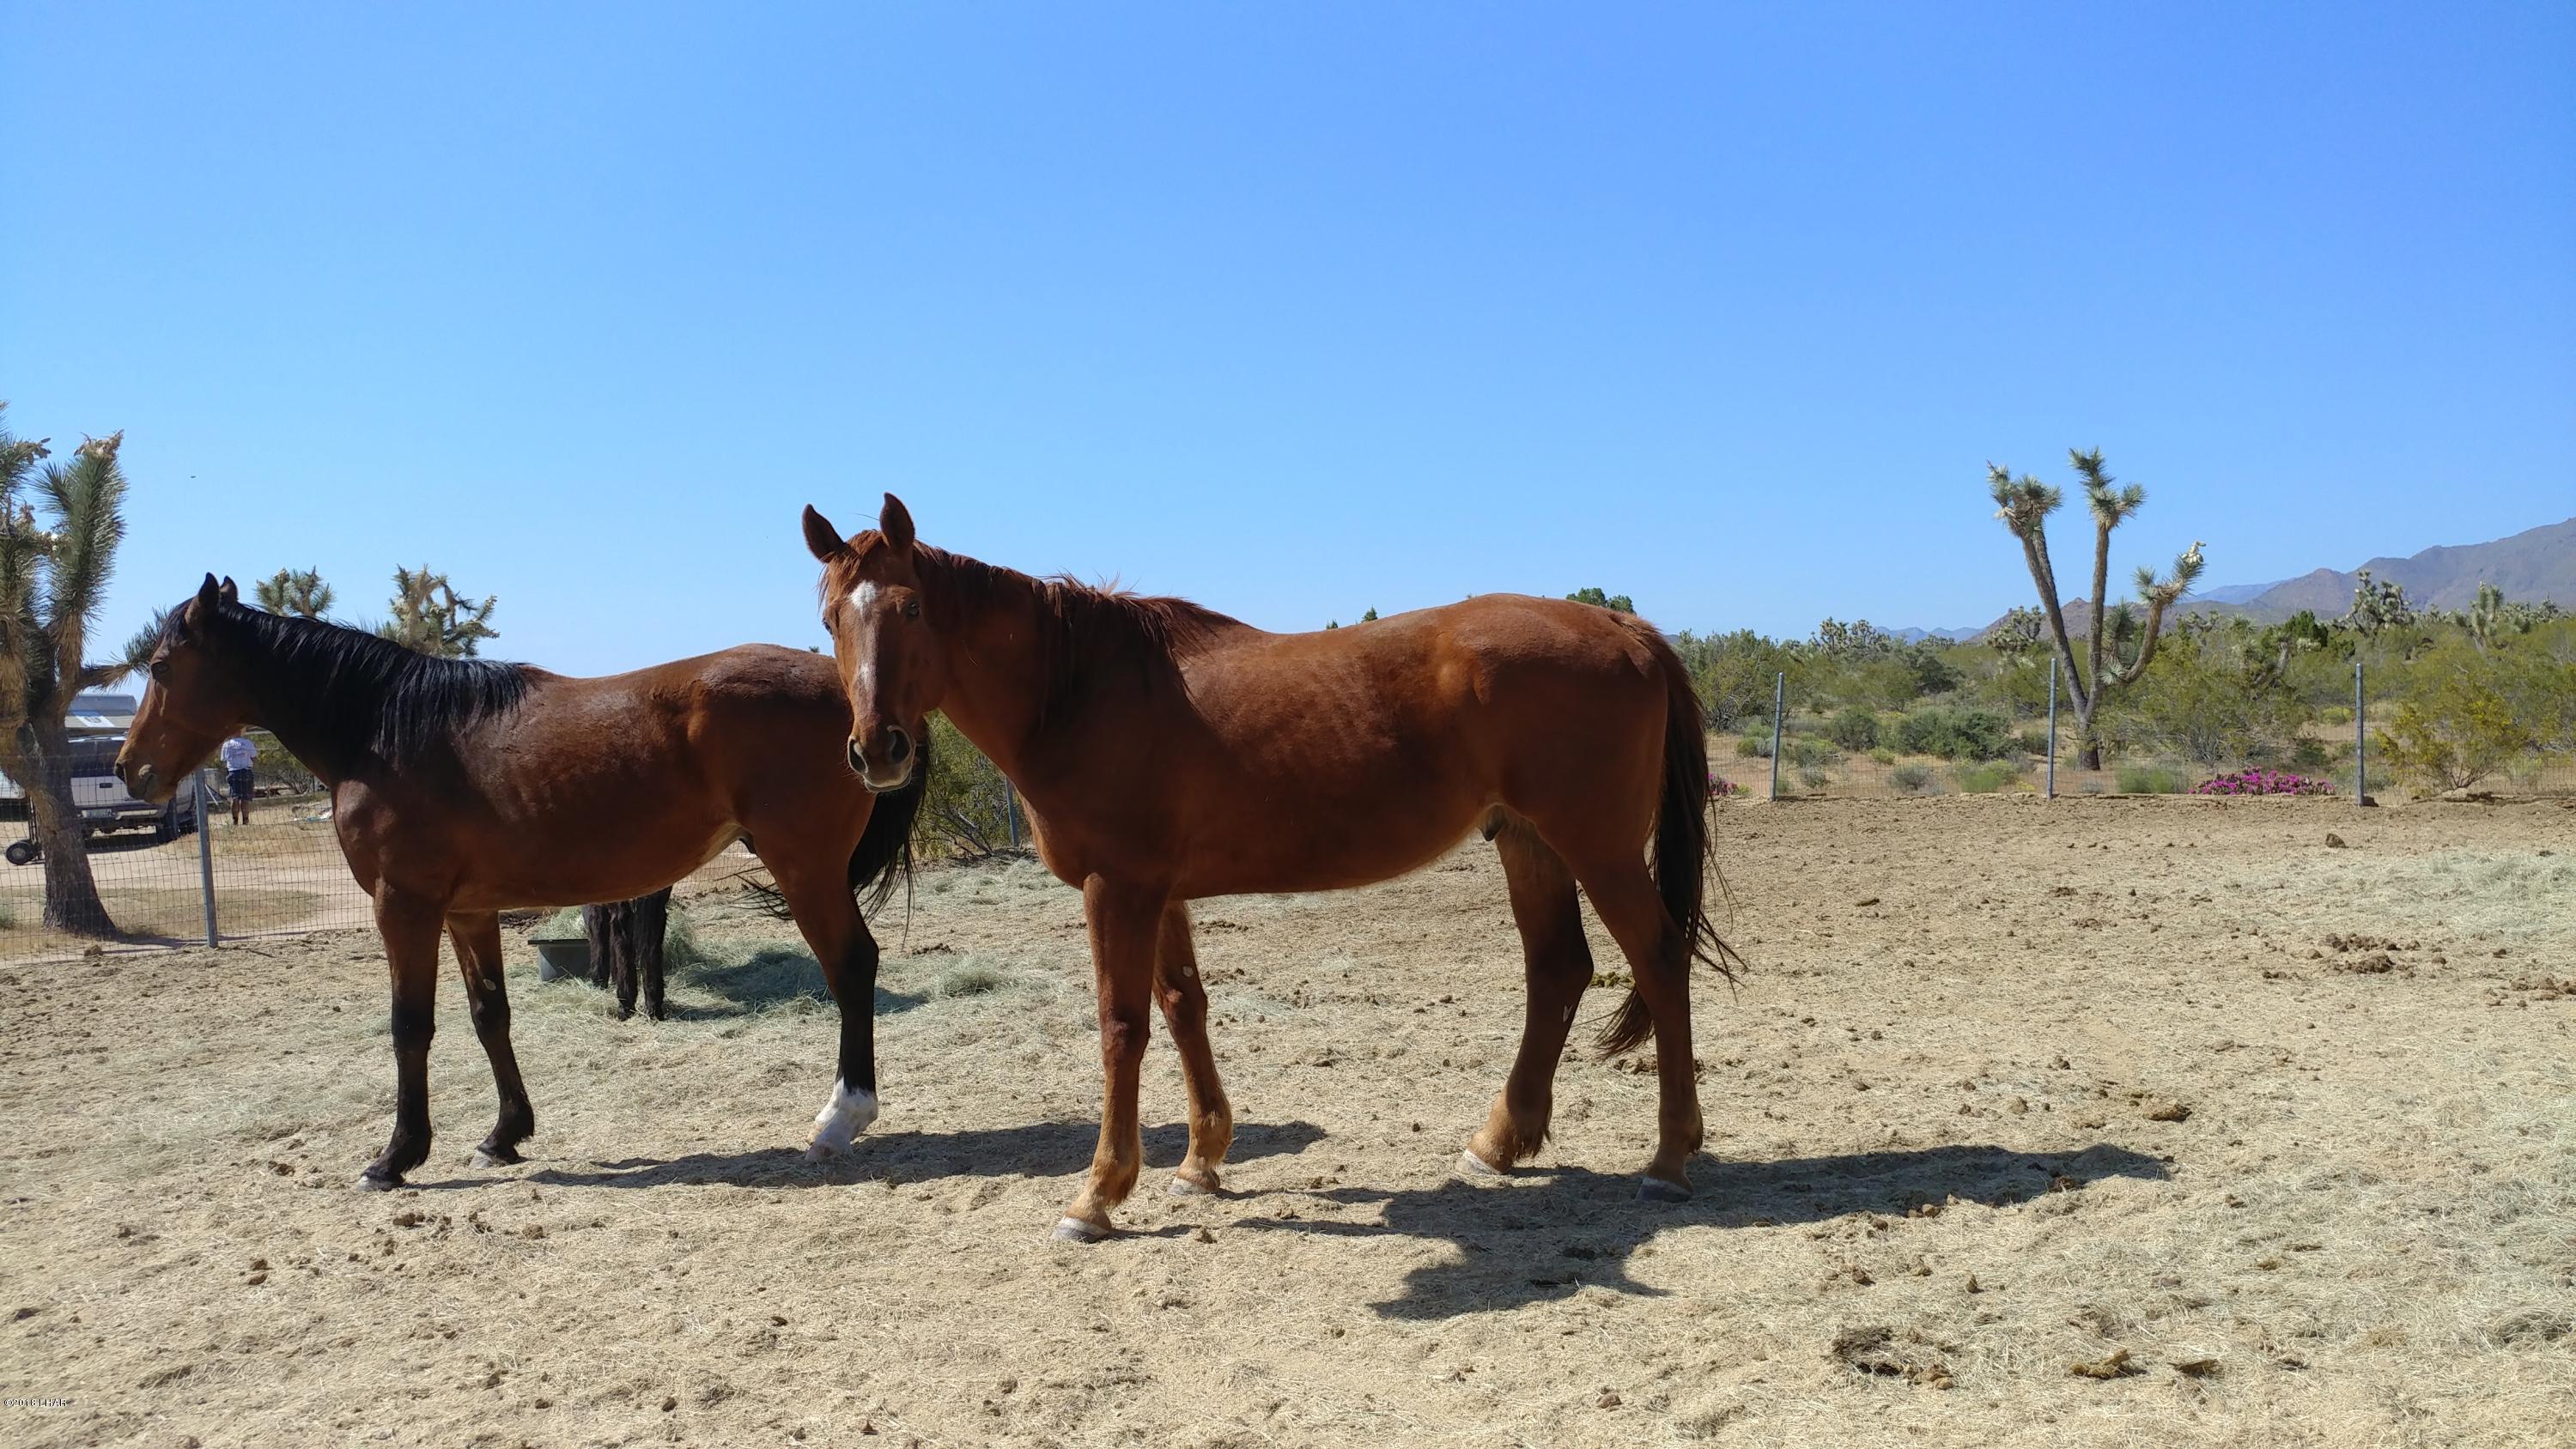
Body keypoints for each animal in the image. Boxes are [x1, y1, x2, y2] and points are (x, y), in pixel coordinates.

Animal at [114, 575, 924, 1188]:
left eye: (160, 667)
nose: (129, 769)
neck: (386, 733)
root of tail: (858, 702)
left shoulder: (403, 908)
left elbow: (411, 1026)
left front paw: (396, 1156)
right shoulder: (468, 914)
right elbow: (488, 1017)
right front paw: (504, 1134)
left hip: (805, 867)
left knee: (851, 966)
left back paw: (839, 1121)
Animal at [801, 496, 1735, 1241]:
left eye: (911, 607)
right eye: (831, 620)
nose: (876, 749)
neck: (1079, 691)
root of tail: (1621, 627)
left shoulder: (1118, 888)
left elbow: (1120, 1027)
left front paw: (1099, 1193)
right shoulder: (1162, 891)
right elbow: (1183, 1007)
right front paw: (1201, 1159)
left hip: (1597, 846)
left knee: (1657, 959)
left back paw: (1668, 1158)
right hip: (1528, 842)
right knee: (1559, 969)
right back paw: (1497, 1144)